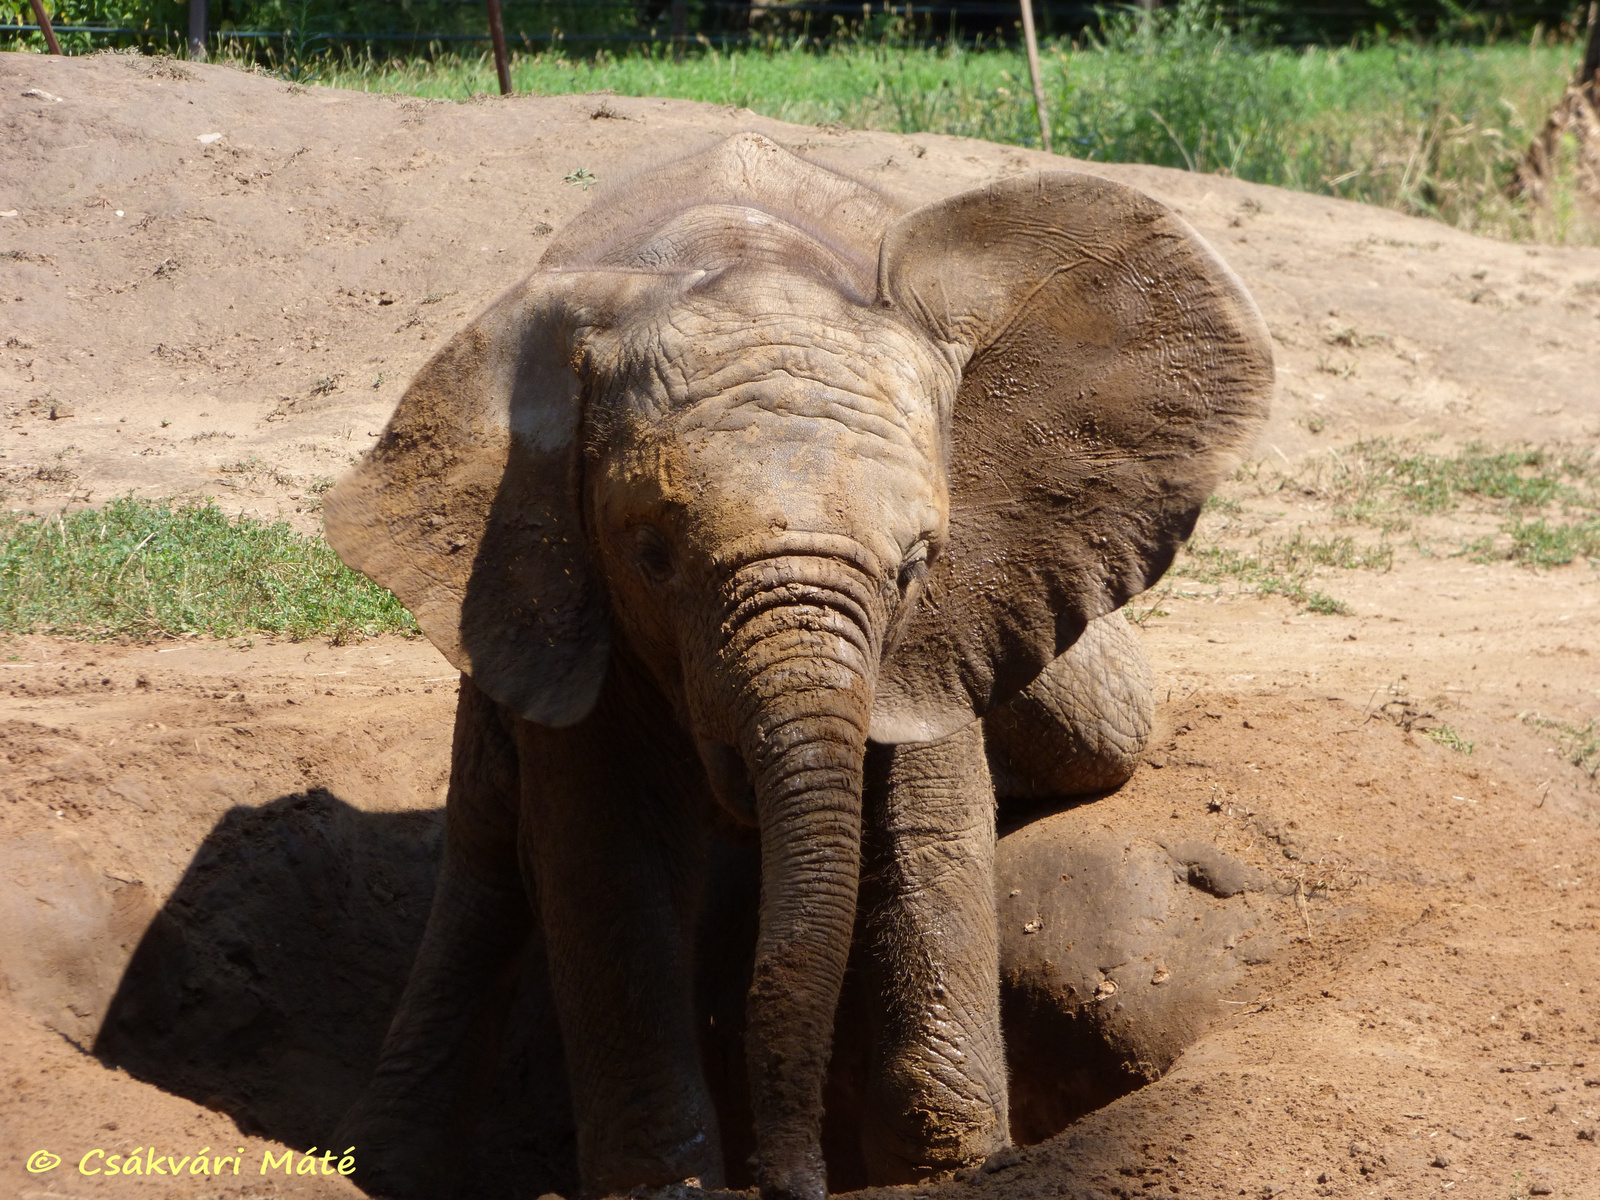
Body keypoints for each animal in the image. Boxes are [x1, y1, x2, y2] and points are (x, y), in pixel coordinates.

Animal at [324, 133, 1273, 1200]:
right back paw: (390, 1157)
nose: (788, 1179)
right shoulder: (565, 594)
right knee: (485, 855)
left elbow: (926, 827)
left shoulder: (935, 631)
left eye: (915, 565)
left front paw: (949, 1166)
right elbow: (604, 858)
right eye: (651, 555)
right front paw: (669, 1184)